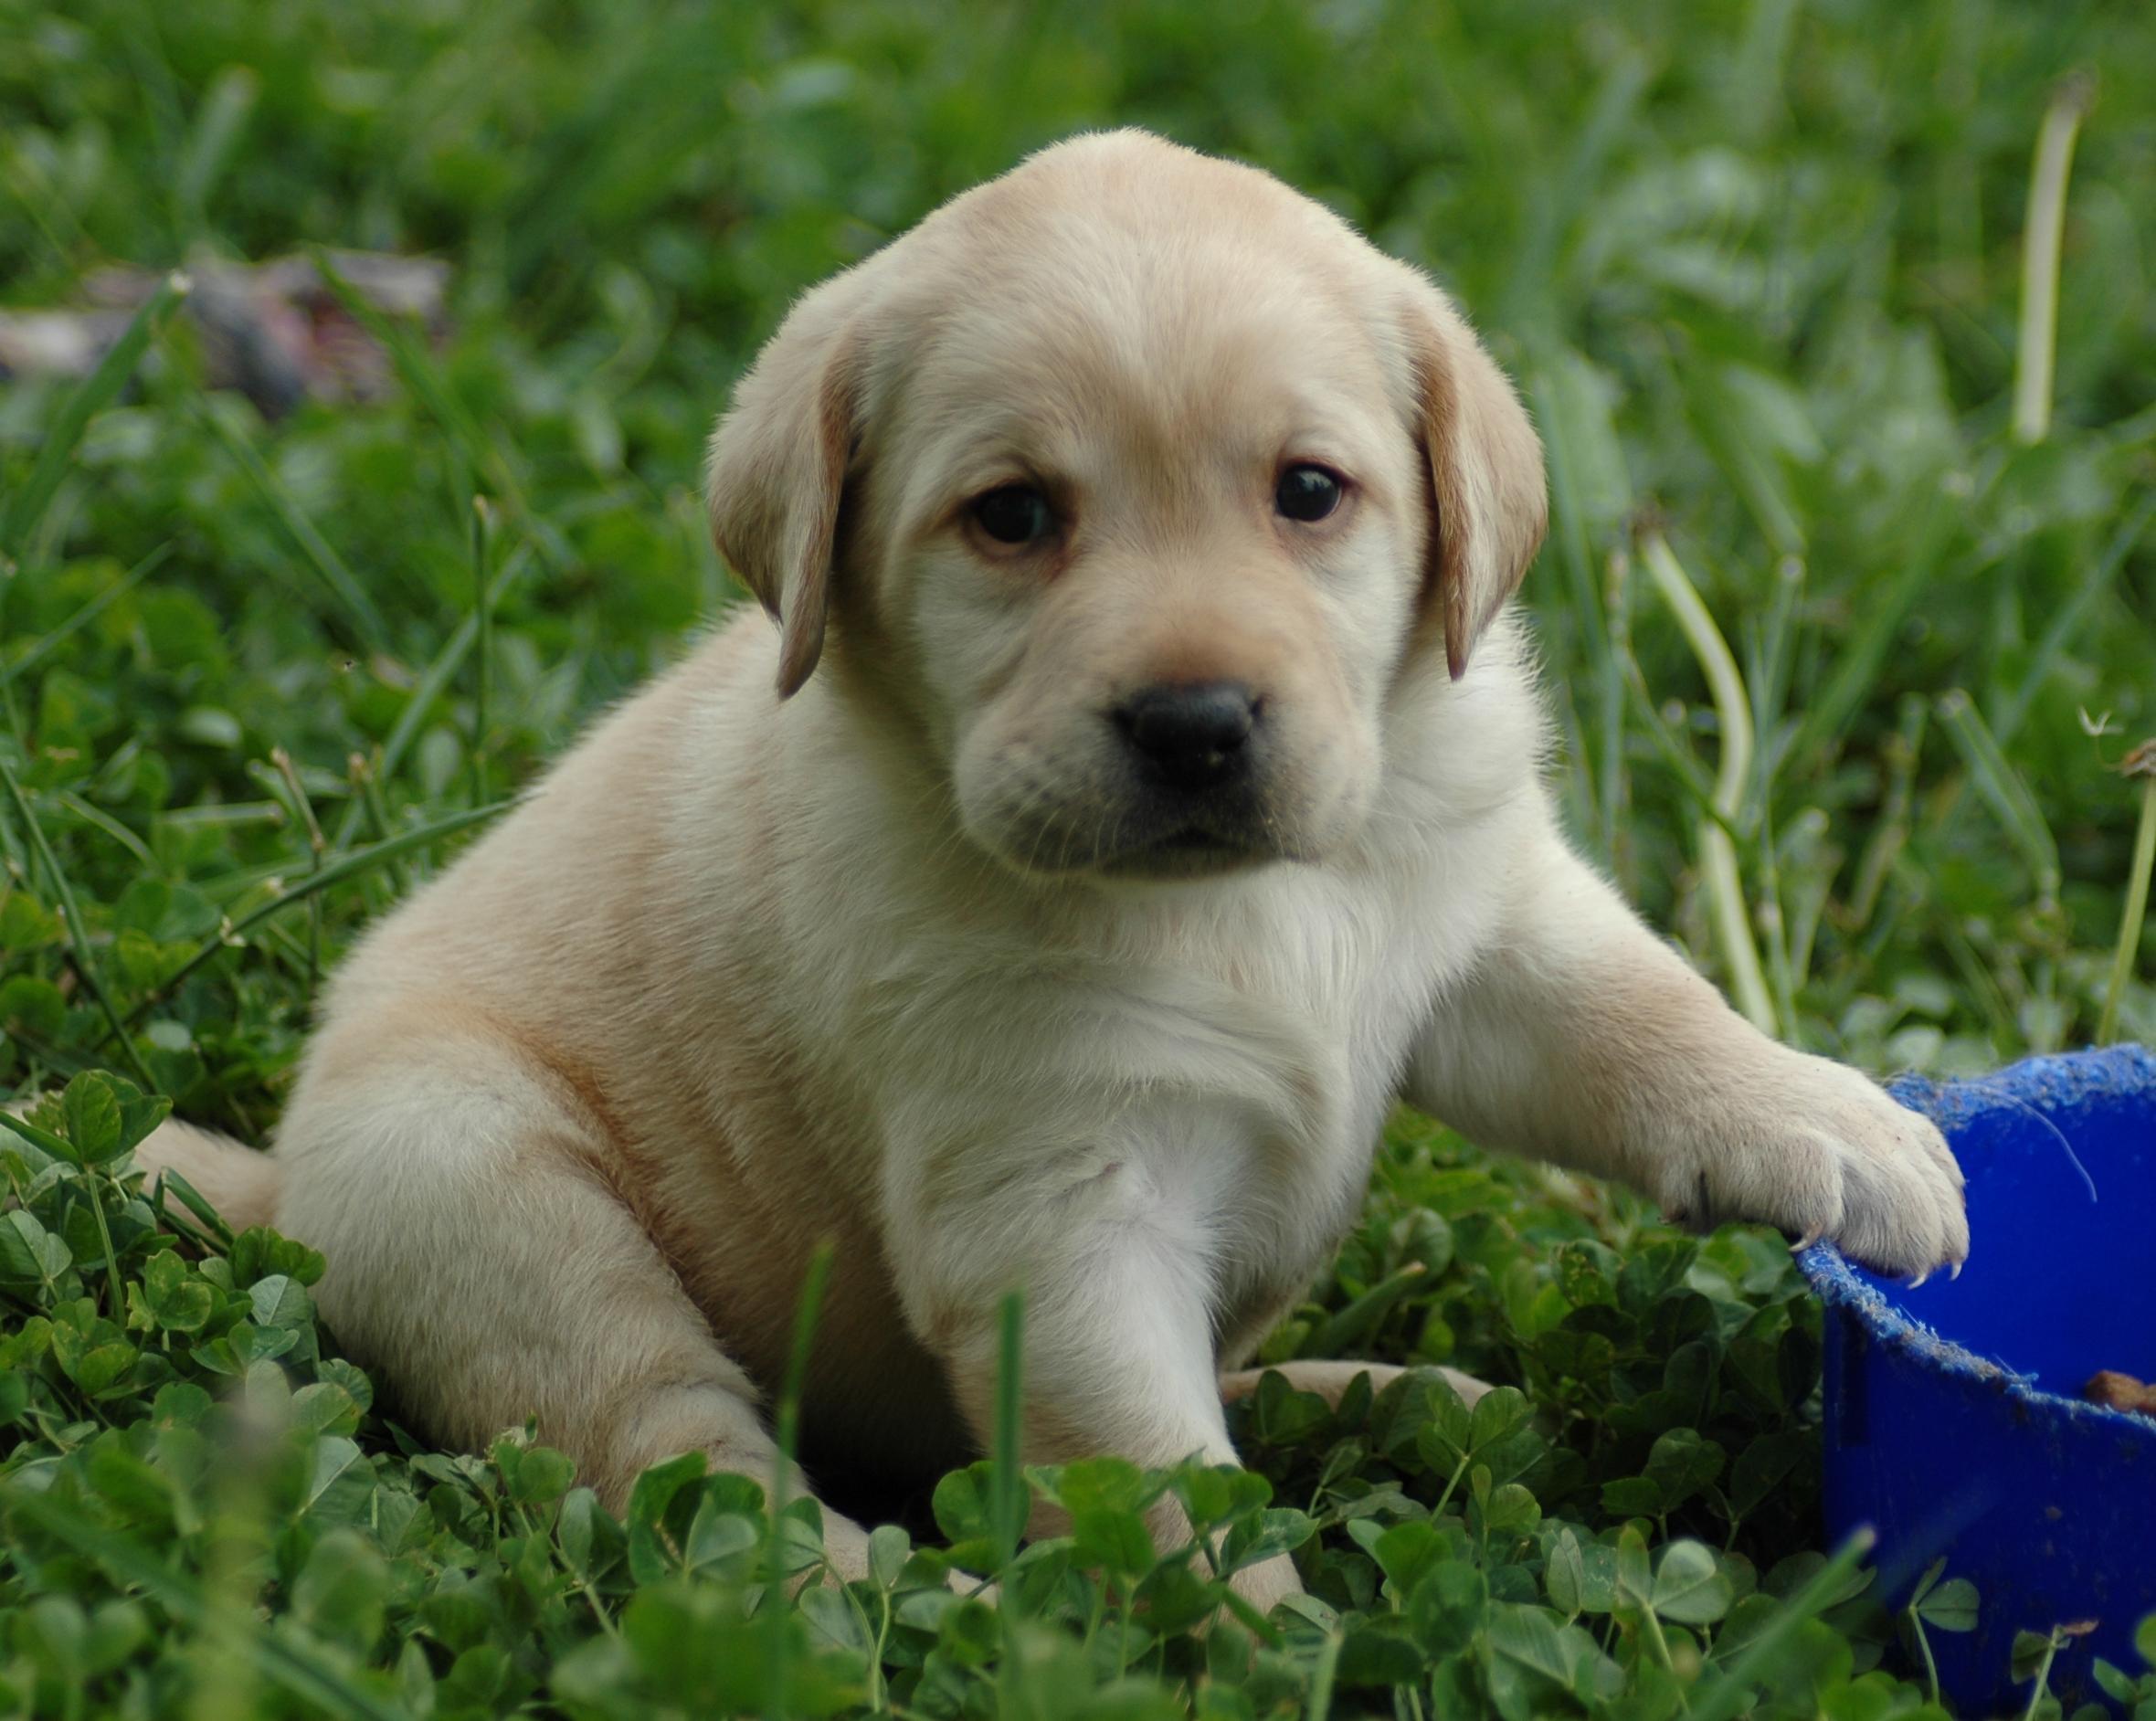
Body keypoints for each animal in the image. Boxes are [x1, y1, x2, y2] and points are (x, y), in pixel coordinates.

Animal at [143, 132, 1966, 1621]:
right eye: (1011, 516)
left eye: (1310, 491)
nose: (1196, 723)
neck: (1245, 903)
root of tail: (281, 1180)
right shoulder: (1061, 1213)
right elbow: (1162, 1484)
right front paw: (1271, 1644)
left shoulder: (1481, 915)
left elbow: (1638, 1006)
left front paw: (1836, 1126)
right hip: (477, 1175)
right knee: (681, 1458)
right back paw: (862, 1589)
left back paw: (1387, 1393)